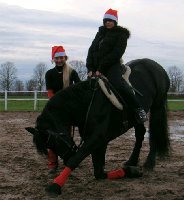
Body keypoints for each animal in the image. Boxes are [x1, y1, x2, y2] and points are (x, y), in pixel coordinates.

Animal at [25, 57, 170, 195]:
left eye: (56, 142)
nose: (67, 158)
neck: (86, 102)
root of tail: (156, 66)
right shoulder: (100, 141)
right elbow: (99, 172)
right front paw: (131, 171)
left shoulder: (97, 138)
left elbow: (77, 159)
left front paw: (55, 186)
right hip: (135, 119)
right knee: (140, 134)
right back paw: (132, 162)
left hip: (157, 107)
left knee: (154, 133)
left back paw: (149, 163)